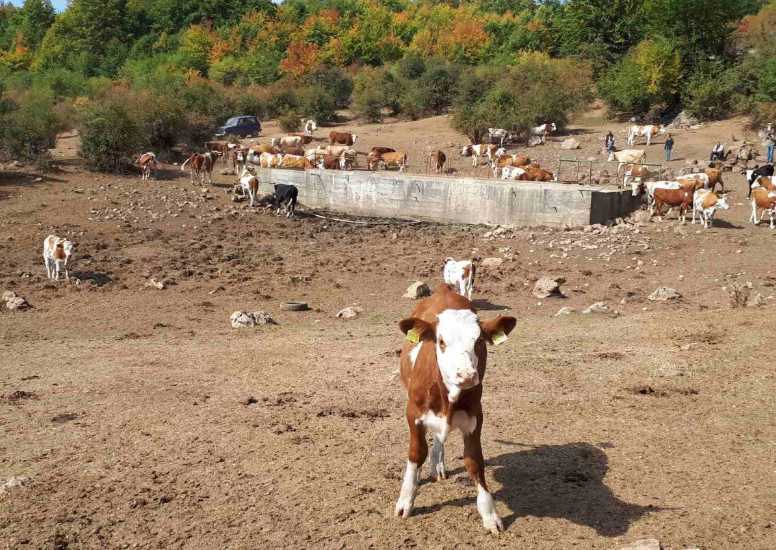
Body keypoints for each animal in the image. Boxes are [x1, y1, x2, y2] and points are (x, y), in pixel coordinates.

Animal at [398, 284, 520, 536]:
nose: (466, 375)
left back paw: (438, 465)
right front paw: (406, 499)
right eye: (441, 341)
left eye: (479, 341)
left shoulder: (475, 417)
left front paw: (489, 513)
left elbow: (474, 461)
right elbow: (416, 454)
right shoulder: (413, 413)